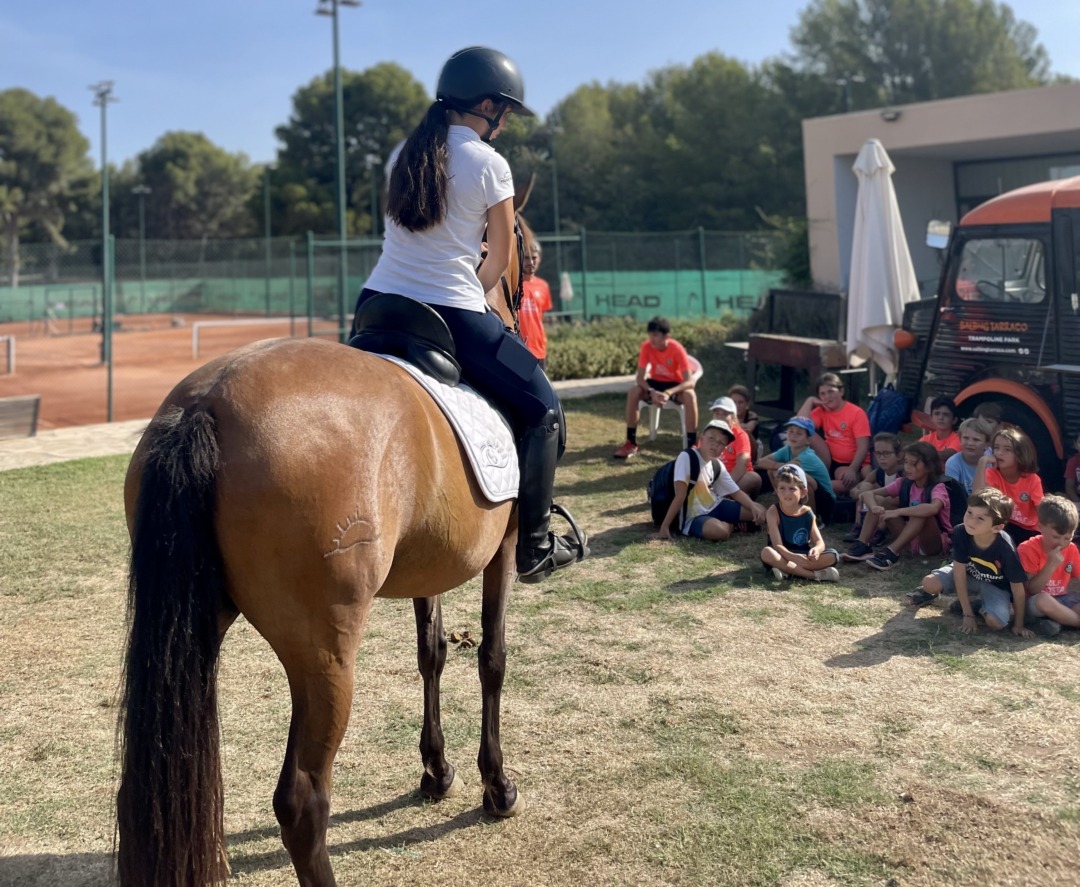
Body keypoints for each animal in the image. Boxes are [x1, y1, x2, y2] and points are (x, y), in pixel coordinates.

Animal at [116, 218, 537, 881]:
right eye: (523, 240)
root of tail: (206, 403)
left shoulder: (431, 568)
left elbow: (433, 654)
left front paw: (436, 772)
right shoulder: (505, 549)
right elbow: (491, 657)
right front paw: (495, 786)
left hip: (193, 631)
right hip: (325, 654)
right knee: (302, 798)